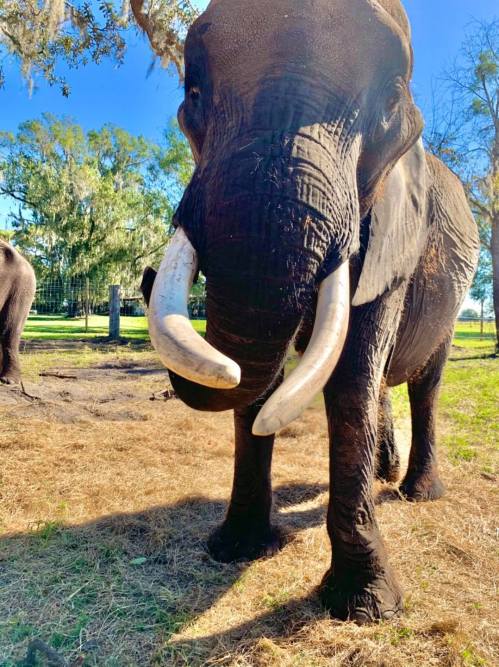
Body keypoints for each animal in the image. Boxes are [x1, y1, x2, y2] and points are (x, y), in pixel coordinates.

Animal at [142, 0, 479, 623]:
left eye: (391, 101)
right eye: (192, 91)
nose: (148, 276)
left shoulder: (394, 231)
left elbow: (350, 376)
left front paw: (366, 605)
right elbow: (266, 379)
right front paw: (238, 548)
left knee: (424, 382)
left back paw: (416, 491)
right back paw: (383, 474)